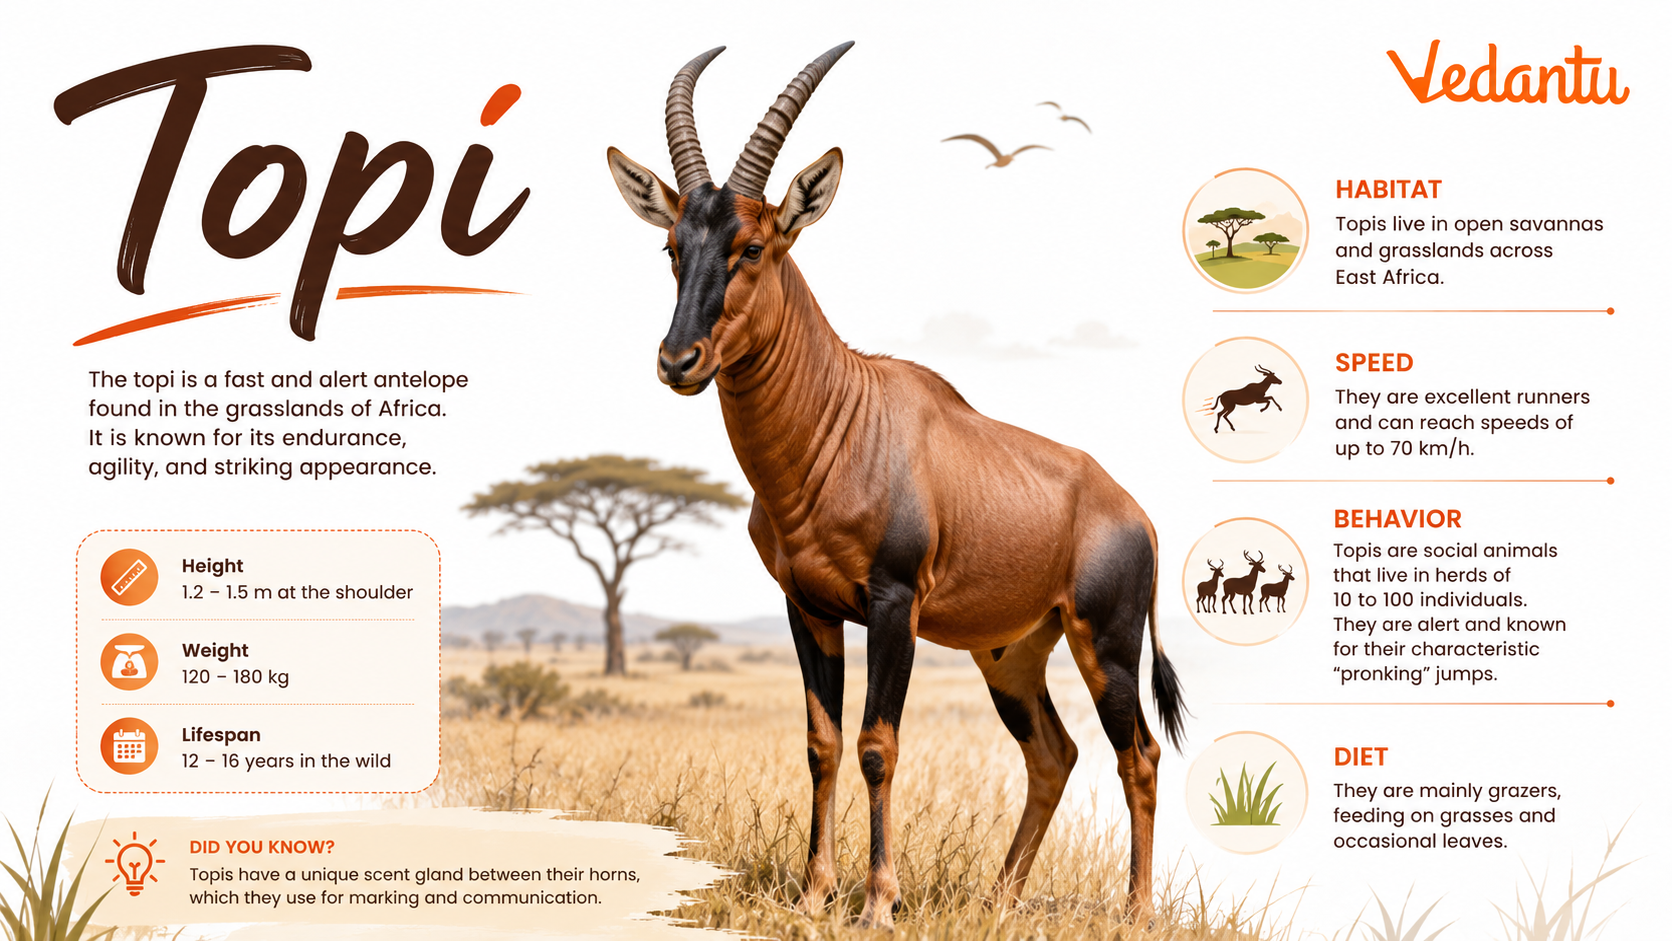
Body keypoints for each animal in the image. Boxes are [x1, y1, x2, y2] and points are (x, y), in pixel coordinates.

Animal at [607, 44, 1186, 928]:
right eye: (674, 245)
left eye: (755, 245)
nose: (680, 361)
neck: (843, 417)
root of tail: (1134, 510)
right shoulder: (808, 607)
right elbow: (822, 742)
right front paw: (814, 893)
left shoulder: (893, 604)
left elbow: (878, 743)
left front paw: (878, 902)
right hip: (1010, 654)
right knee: (1054, 752)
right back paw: (998, 899)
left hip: (1107, 643)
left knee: (1140, 753)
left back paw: (1135, 911)